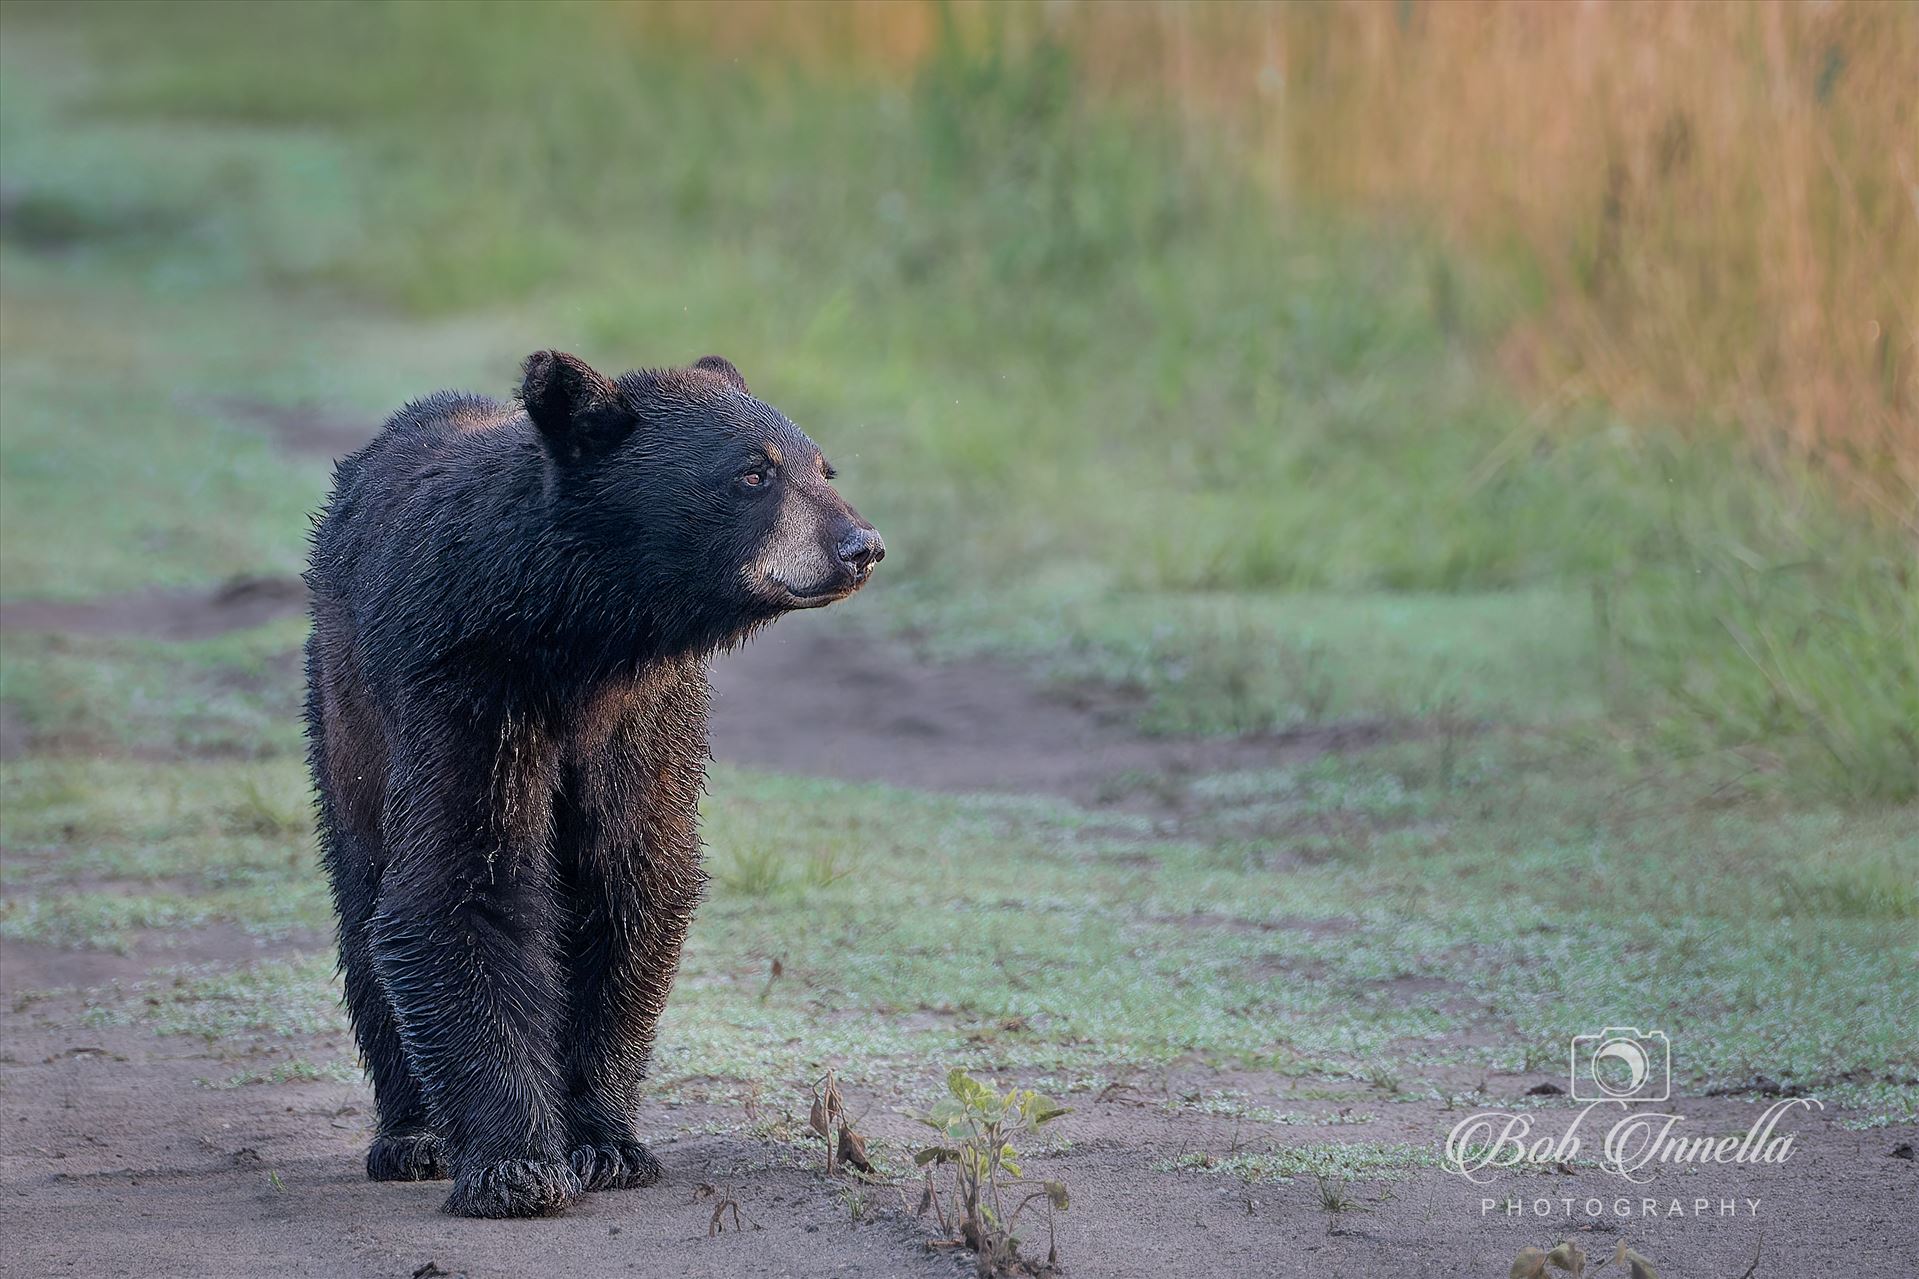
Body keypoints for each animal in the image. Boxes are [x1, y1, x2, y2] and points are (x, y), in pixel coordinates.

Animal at [305, 351, 882, 1213]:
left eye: (822, 467)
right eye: (753, 472)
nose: (860, 545)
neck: (584, 638)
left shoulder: (646, 716)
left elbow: (630, 880)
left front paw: (605, 1143)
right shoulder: (465, 685)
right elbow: (459, 881)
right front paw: (515, 1163)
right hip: (347, 707)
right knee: (362, 884)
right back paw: (411, 1134)